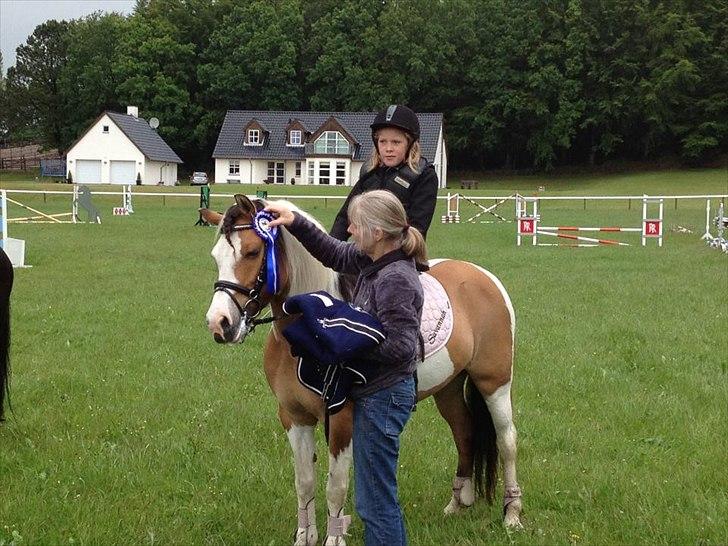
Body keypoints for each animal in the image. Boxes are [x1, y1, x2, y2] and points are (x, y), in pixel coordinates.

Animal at [202, 193, 520, 540]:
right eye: (216, 257)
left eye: (252, 252)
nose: (219, 323)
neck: (305, 335)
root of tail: (482, 276)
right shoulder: (294, 417)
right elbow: (304, 483)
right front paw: (304, 537)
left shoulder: (341, 419)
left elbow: (335, 488)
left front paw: (334, 539)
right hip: (448, 387)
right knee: (464, 432)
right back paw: (457, 504)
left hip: (494, 383)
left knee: (506, 440)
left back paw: (512, 514)